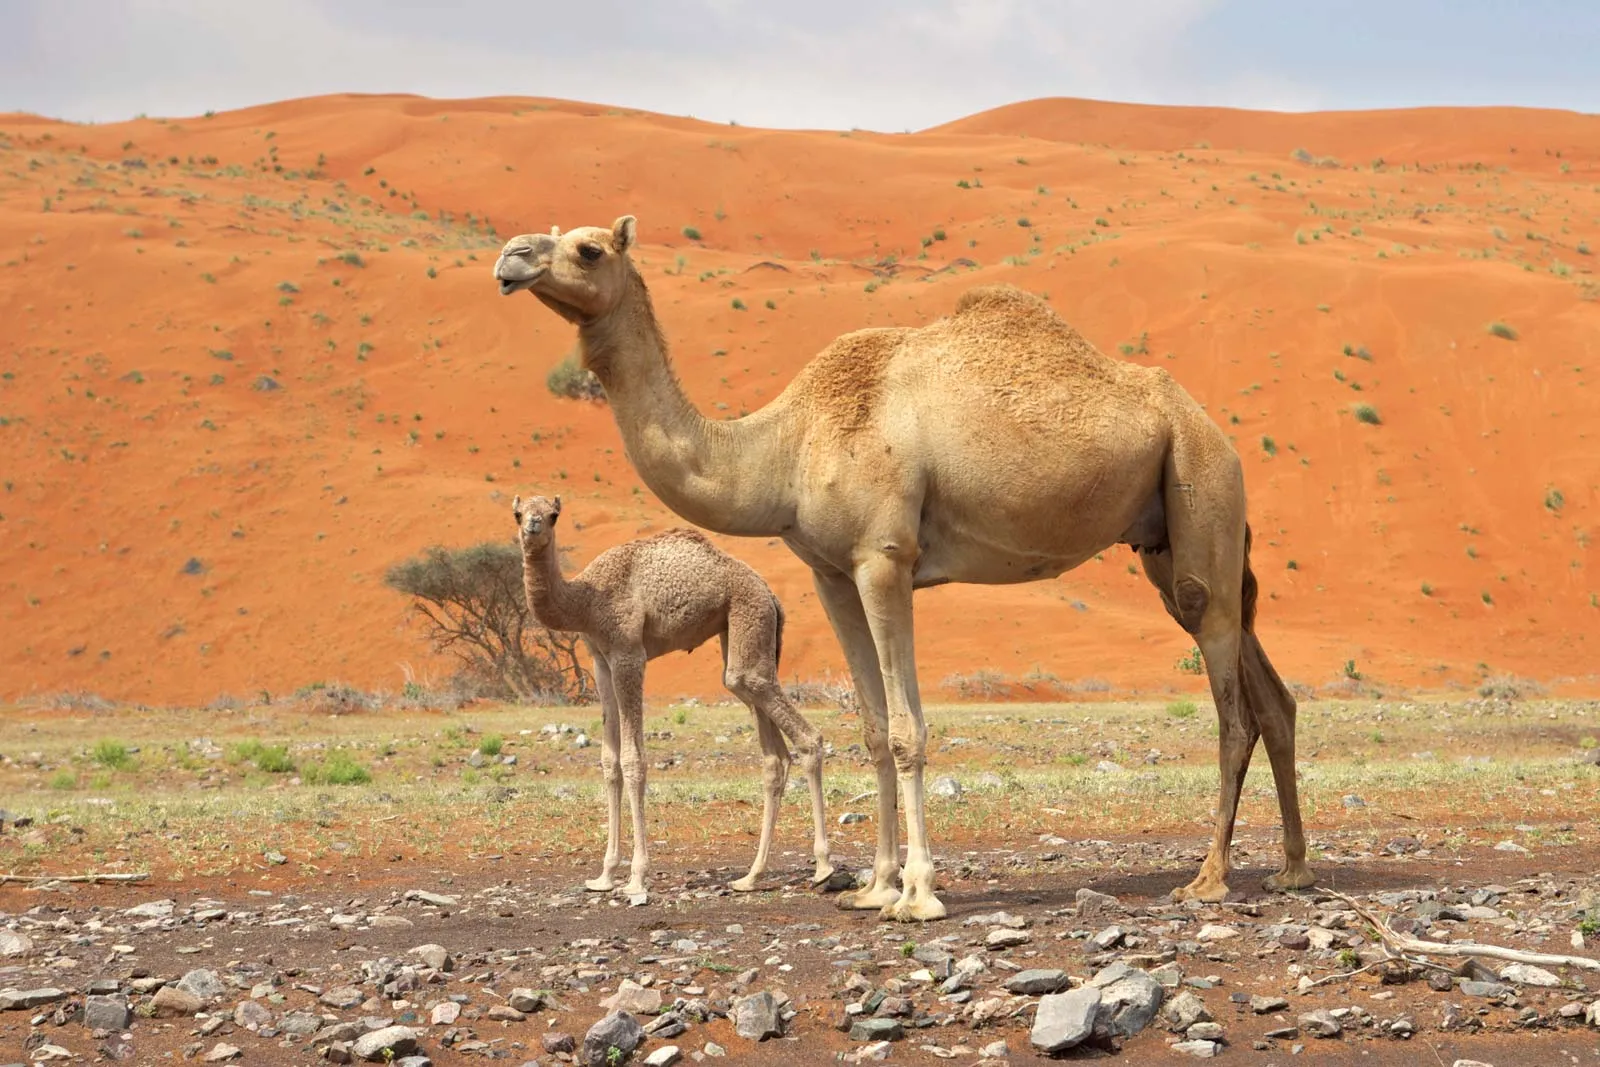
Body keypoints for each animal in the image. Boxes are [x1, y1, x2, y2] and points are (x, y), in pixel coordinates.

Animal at [511, 492, 833, 899]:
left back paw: (823, 867)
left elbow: (633, 761)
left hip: (749, 616)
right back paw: (750, 877)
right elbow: (609, 762)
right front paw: (603, 876)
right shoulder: (600, 660)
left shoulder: (628, 654)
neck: (585, 600)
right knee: (772, 752)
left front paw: (636, 878)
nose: (533, 527)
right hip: (740, 637)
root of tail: (772, 595)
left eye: (553, 515)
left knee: (806, 737)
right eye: (518, 513)